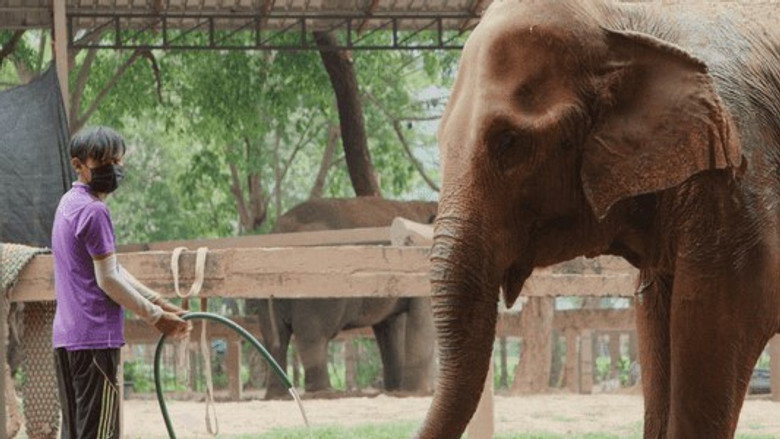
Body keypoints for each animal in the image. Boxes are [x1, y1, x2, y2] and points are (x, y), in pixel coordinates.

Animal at [249, 197, 437, 399]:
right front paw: (416, 392)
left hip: (263, 286)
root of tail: (281, 230)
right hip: (316, 286)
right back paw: (324, 392)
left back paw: (277, 395)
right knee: (312, 335)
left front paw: (394, 390)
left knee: (274, 338)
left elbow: (390, 326)